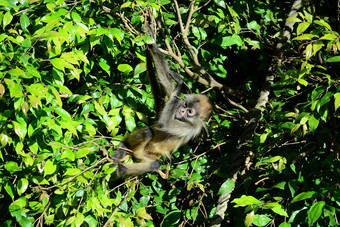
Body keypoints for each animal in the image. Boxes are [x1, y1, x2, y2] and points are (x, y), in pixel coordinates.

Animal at [111, 29, 212, 178]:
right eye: (186, 106)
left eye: (190, 112)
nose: (182, 111)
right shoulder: (177, 103)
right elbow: (165, 80)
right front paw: (152, 43)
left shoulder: (193, 128)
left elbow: (163, 124)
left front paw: (180, 83)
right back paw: (124, 148)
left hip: (148, 155)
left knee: (153, 158)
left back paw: (121, 168)